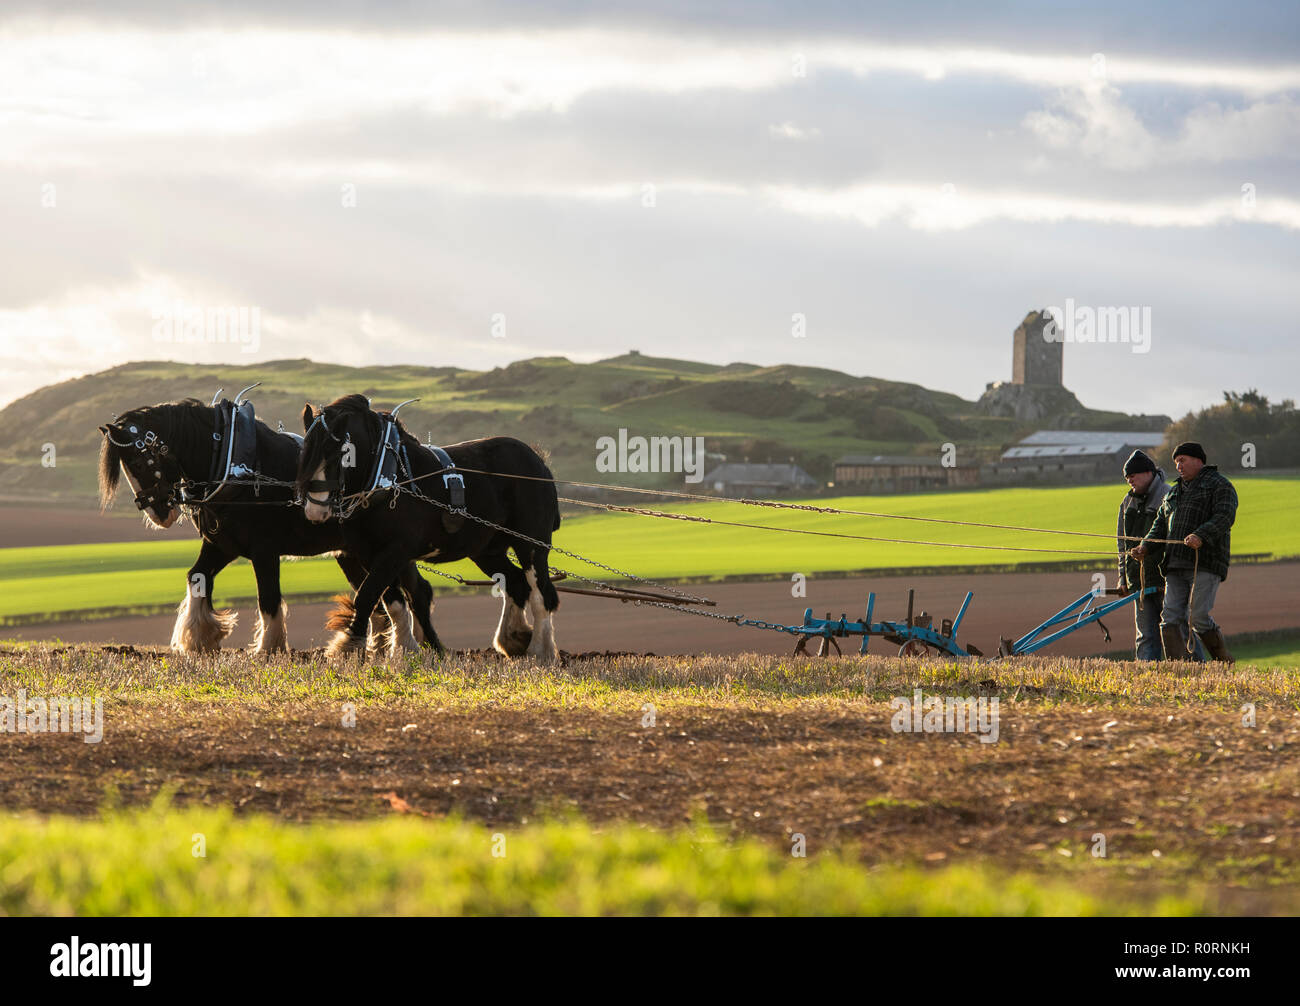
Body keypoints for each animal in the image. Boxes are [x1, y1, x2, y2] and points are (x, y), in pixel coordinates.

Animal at [97, 394, 440, 655]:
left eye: (138, 461)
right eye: (127, 466)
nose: (158, 514)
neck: (234, 464)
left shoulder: (264, 550)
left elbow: (269, 598)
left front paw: (268, 648)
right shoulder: (221, 544)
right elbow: (197, 577)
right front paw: (199, 638)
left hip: (389, 550)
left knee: (414, 592)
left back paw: (419, 648)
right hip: (352, 554)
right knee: (380, 595)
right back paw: (382, 647)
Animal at [294, 394, 561, 662]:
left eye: (340, 454)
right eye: (305, 453)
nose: (315, 509)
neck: (388, 477)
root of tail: (537, 460)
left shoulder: (396, 551)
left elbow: (367, 595)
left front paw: (348, 645)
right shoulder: (369, 554)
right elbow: (392, 600)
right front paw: (404, 649)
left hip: (531, 544)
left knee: (541, 593)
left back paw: (541, 651)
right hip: (487, 551)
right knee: (516, 582)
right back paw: (513, 639)